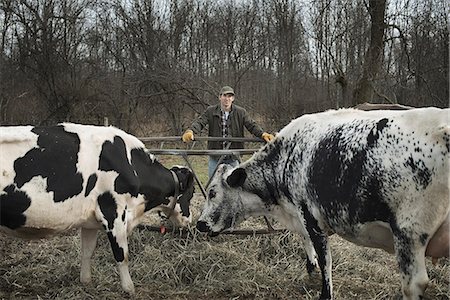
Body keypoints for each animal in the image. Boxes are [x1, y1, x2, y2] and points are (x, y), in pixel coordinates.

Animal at [1, 123, 195, 294]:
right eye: (191, 193)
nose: (190, 220)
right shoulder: (113, 212)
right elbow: (122, 255)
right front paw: (129, 289)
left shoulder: (89, 221)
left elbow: (87, 252)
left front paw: (86, 282)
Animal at [198, 108, 450, 300]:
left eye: (212, 192)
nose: (200, 224)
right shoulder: (301, 217)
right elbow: (307, 245)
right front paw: (309, 271)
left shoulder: (311, 216)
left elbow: (325, 260)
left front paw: (324, 292)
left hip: (408, 234)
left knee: (414, 284)